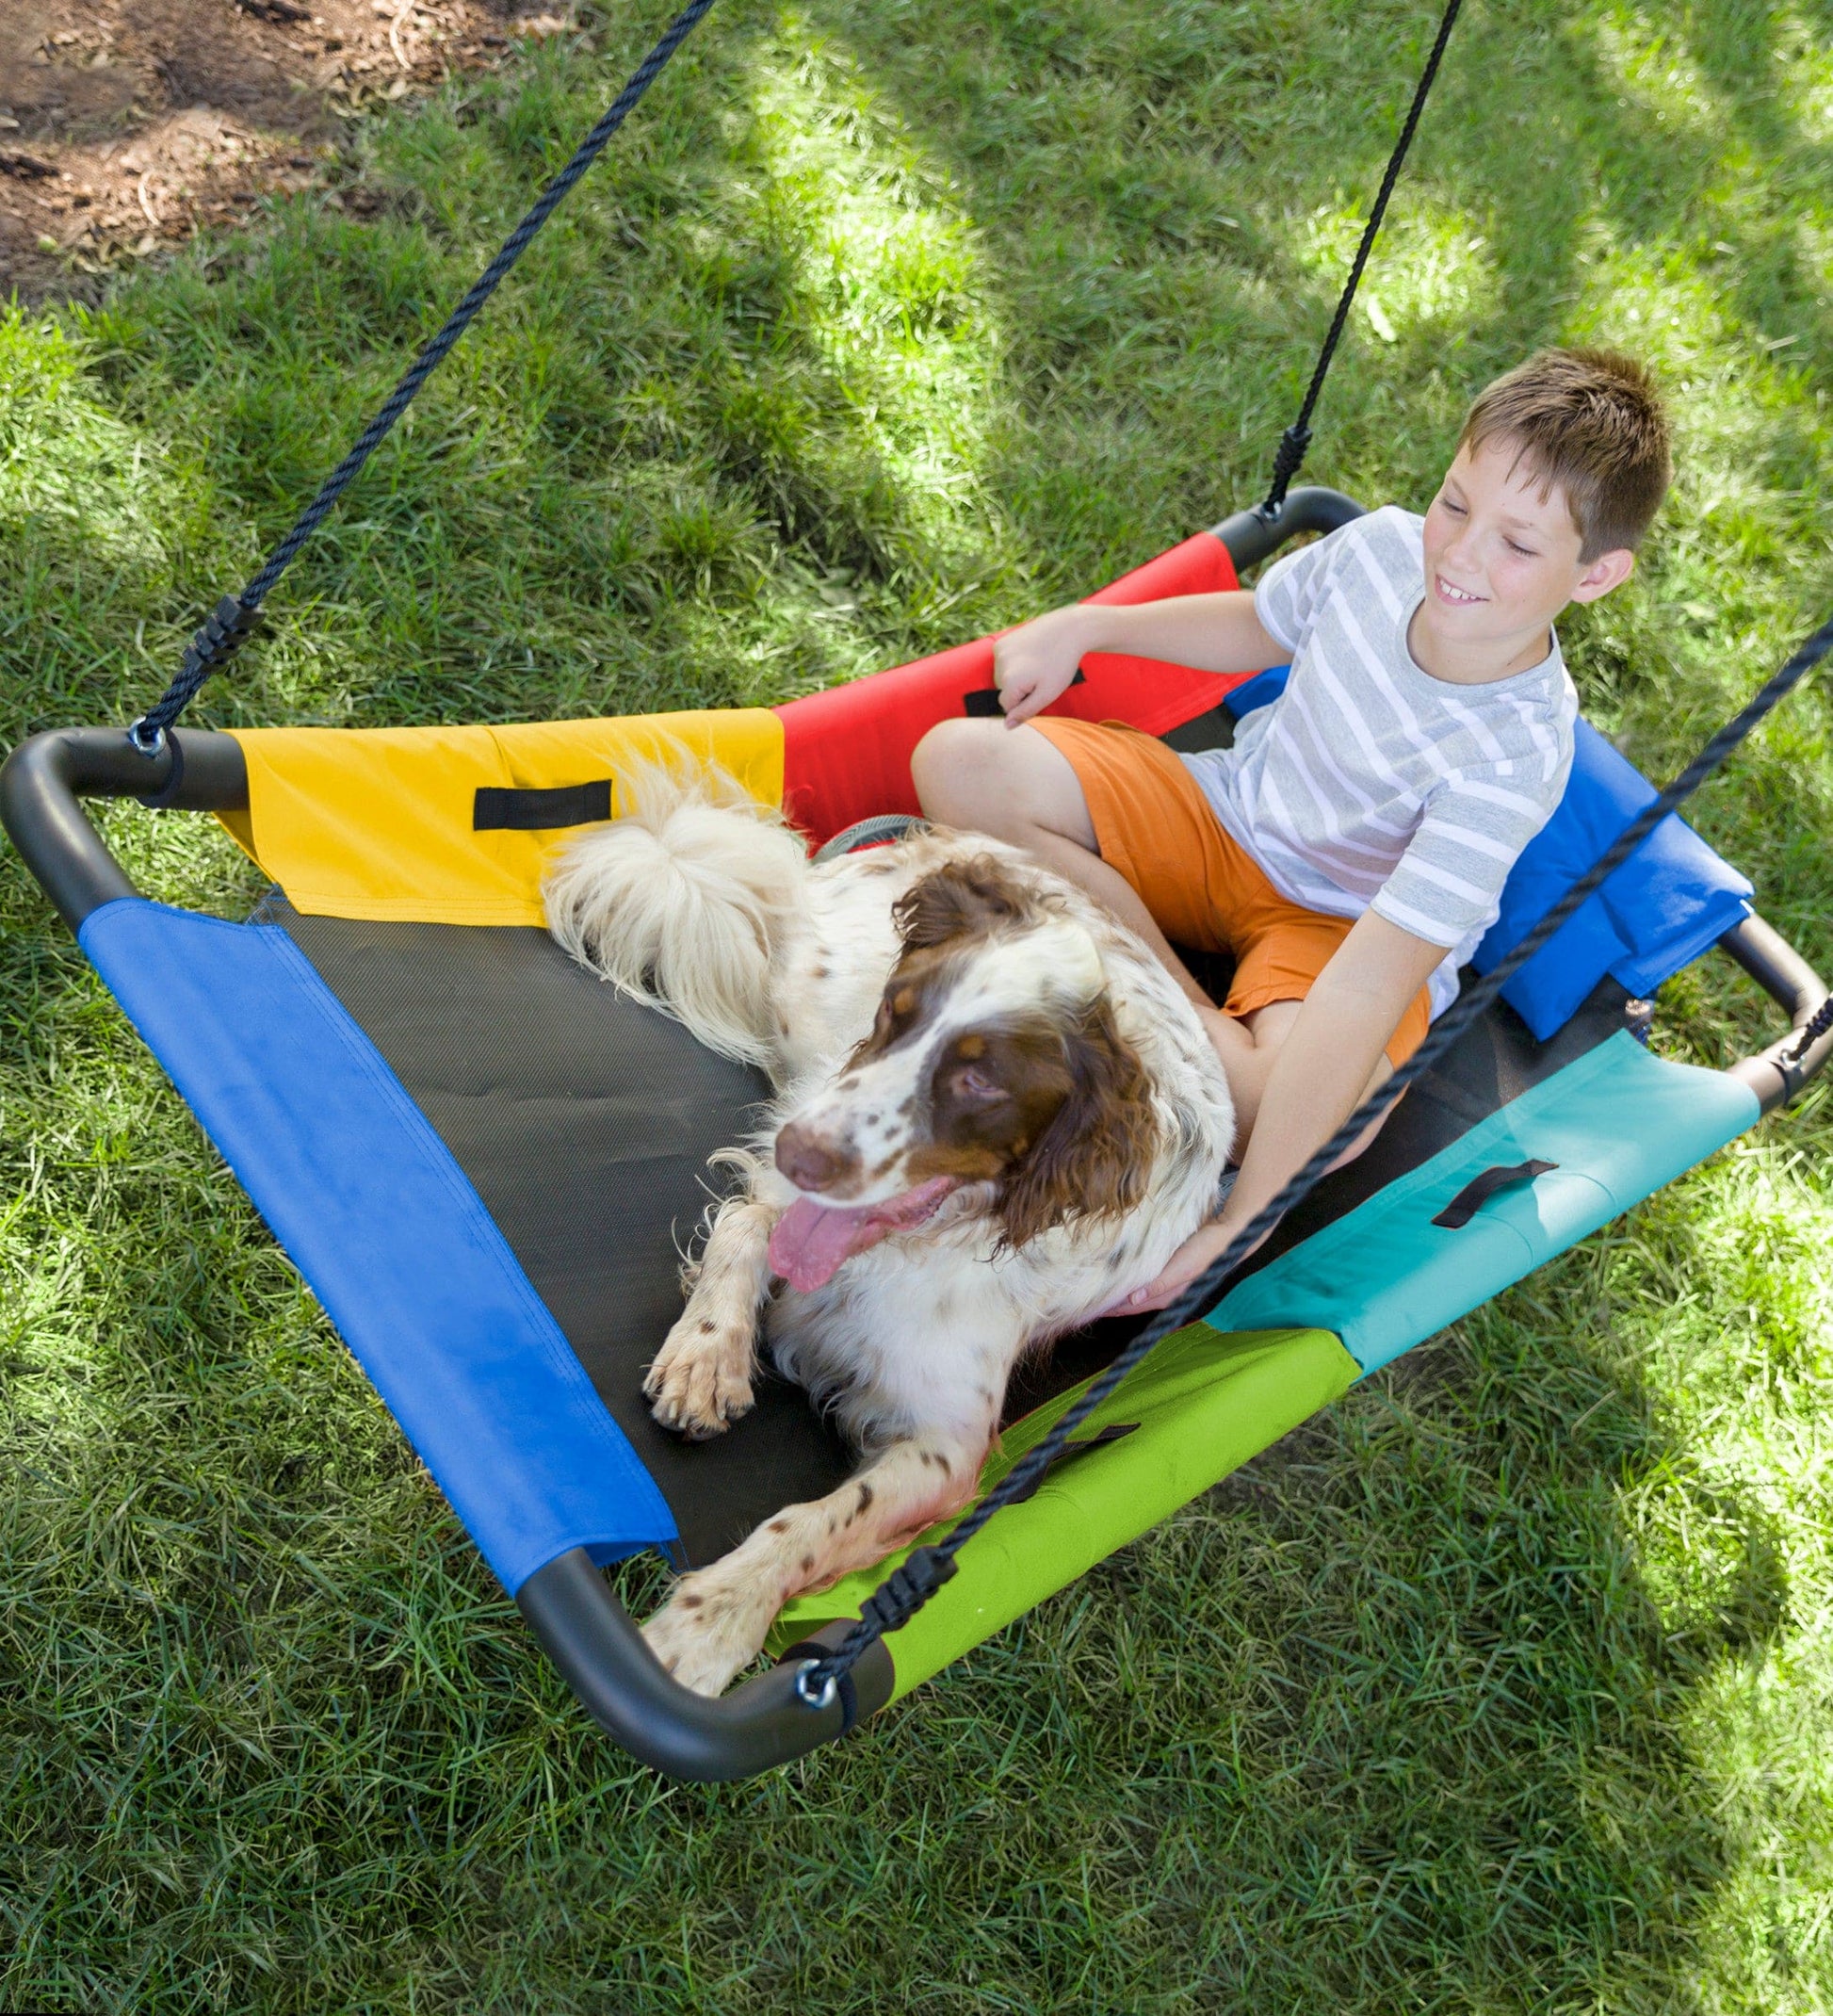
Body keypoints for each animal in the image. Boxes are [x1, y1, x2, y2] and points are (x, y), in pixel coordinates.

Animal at [536, 761, 1234, 1693]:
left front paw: (710, 1619)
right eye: (895, 1013)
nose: (802, 1152)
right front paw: (706, 1355)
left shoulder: (947, 1449)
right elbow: (746, 1222)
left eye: (981, 1083)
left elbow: (809, 1523)